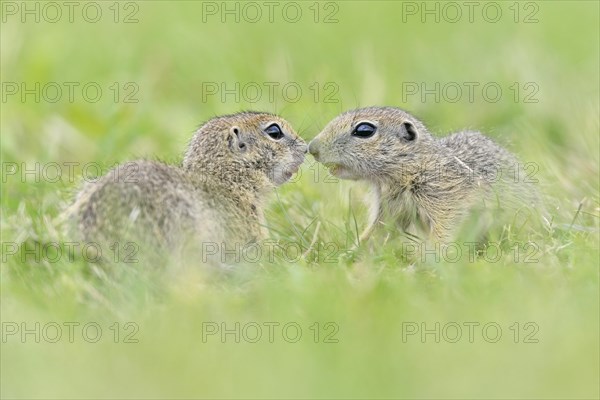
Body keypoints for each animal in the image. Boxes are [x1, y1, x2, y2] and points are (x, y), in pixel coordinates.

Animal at [310, 106, 540, 242]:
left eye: (364, 130)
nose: (312, 148)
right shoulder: (389, 208)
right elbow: (379, 231)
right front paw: (351, 254)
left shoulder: (445, 198)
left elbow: (446, 228)